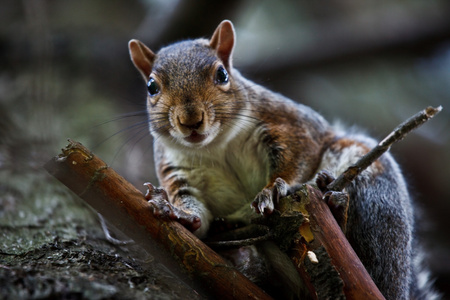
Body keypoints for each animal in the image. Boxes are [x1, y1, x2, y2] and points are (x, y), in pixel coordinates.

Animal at [128, 19, 438, 298]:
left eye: (222, 75)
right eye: (152, 87)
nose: (190, 120)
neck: (214, 146)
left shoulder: (291, 126)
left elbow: (296, 159)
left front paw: (272, 189)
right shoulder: (176, 170)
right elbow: (197, 217)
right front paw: (177, 212)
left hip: (375, 194)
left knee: (374, 267)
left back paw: (337, 207)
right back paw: (240, 254)